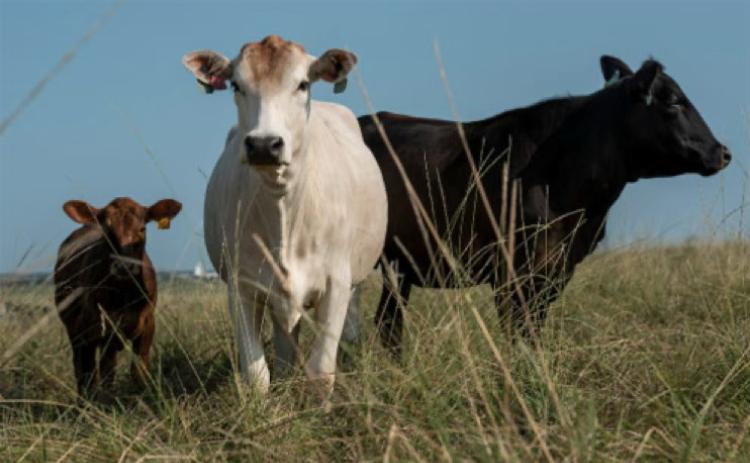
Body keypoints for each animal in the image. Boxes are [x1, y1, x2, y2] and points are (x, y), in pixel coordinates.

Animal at [54, 197, 182, 397]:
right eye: (107, 231)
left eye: (142, 229)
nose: (124, 266)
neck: (124, 295)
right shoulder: (102, 329)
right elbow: (105, 374)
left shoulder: (148, 325)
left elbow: (139, 371)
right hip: (76, 331)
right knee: (84, 370)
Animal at [182, 35, 387, 395]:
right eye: (236, 84)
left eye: (303, 84)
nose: (264, 145)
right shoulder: (241, 287)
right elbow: (257, 374)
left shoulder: (336, 284)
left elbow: (321, 371)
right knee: (285, 347)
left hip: (355, 283)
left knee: (348, 332)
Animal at [358, 56, 732, 356]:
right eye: (673, 102)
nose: (722, 152)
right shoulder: (513, 271)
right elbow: (521, 337)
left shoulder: (557, 269)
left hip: (398, 266)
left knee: (388, 325)